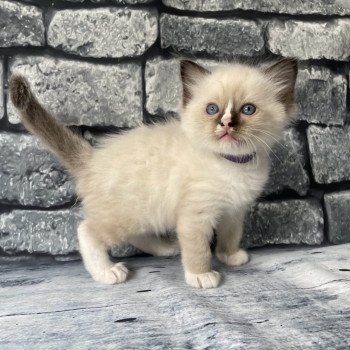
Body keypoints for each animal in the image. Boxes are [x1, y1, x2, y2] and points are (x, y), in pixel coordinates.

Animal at [9, 58, 296, 288]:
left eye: (248, 110)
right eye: (212, 109)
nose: (226, 124)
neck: (232, 164)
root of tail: (92, 158)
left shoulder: (234, 211)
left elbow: (230, 236)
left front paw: (230, 256)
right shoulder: (195, 216)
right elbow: (198, 250)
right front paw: (201, 276)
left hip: (144, 212)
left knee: (137, 235)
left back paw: (166, 248)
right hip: (126, 214)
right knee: (86, 230)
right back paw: (107, 272)